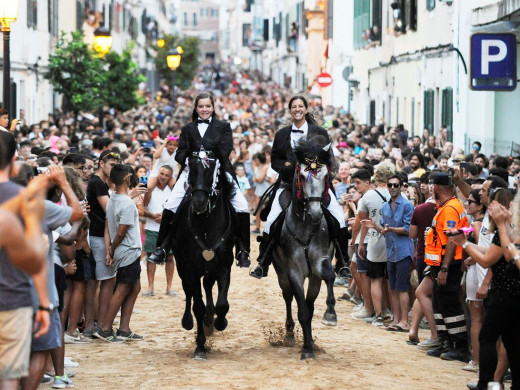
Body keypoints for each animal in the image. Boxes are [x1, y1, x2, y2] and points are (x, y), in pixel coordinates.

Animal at [174, 149, 237, 360]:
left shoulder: (224, 267)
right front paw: (200, 346)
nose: (199, 203)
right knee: (189, 292)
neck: (206, 224)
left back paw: (211, 320)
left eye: (211, 172)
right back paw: (188, 321)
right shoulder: (191, 269)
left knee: (208, 286)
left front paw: (219, 322)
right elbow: (197, 307)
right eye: (191, 170)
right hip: (182, 267)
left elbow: (222, 304)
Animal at [272, 139, 338, 362]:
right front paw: (307, 348)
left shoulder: (319, 264)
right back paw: (290, 334)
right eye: (302, 176)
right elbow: (301, 309)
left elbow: (328, 277)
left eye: (326, 176)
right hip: (280, 271)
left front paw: (330, 315)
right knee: (287, 296)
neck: (306, 226)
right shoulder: (294, 271)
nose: (316, 214)